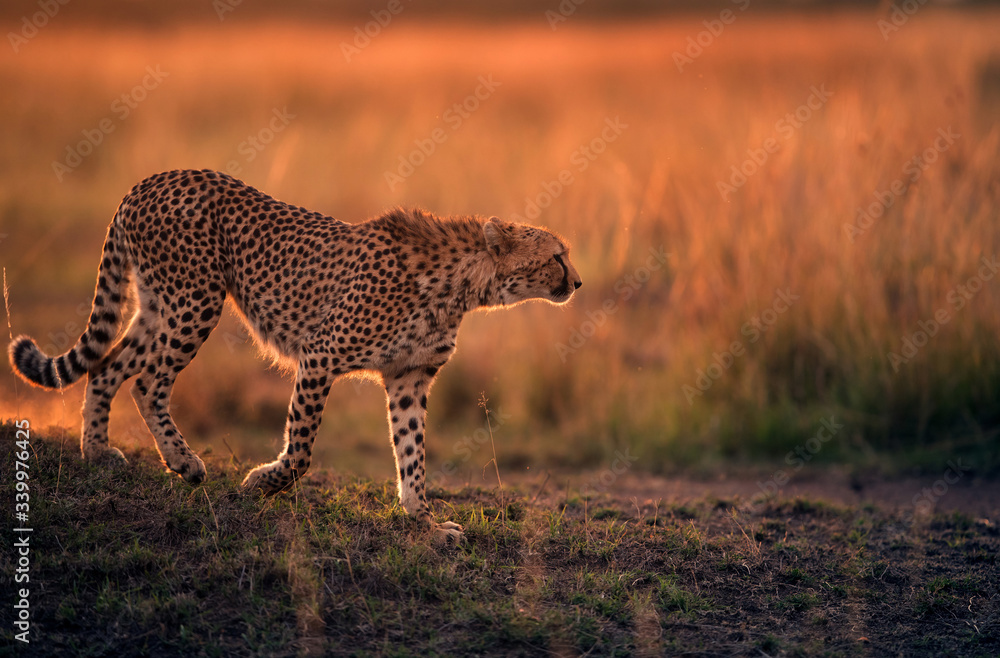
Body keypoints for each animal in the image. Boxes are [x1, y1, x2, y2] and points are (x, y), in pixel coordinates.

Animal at [8, 169, 582, 542]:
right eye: (557, 255)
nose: (577, 282)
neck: (462, 284)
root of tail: (154, 178)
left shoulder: (409, 376)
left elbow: (412, 453)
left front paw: (423, 522)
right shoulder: (321, 355)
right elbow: (303, 449)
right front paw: (263, 482)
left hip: (158, 304)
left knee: (107, 366)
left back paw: (97, 454)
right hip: (196, 300)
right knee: (148, 382)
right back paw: (185, 463)